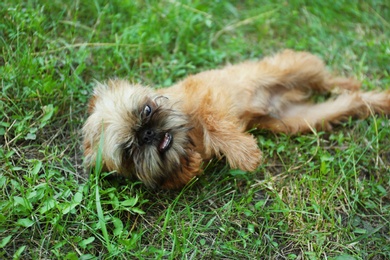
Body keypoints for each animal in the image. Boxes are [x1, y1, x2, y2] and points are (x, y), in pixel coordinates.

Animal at [83, 49, 390, 189]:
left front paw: (244, 154)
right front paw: (189, 165)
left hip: (294, 68)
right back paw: (376, 100)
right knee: (349, 103)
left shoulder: (211, 96)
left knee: (328, 81)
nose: (147, 133)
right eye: (129, 150)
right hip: (300, 119)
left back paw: (350, 83)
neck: (189, 134)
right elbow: (180, 174)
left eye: (146, 110)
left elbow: (214, 122)